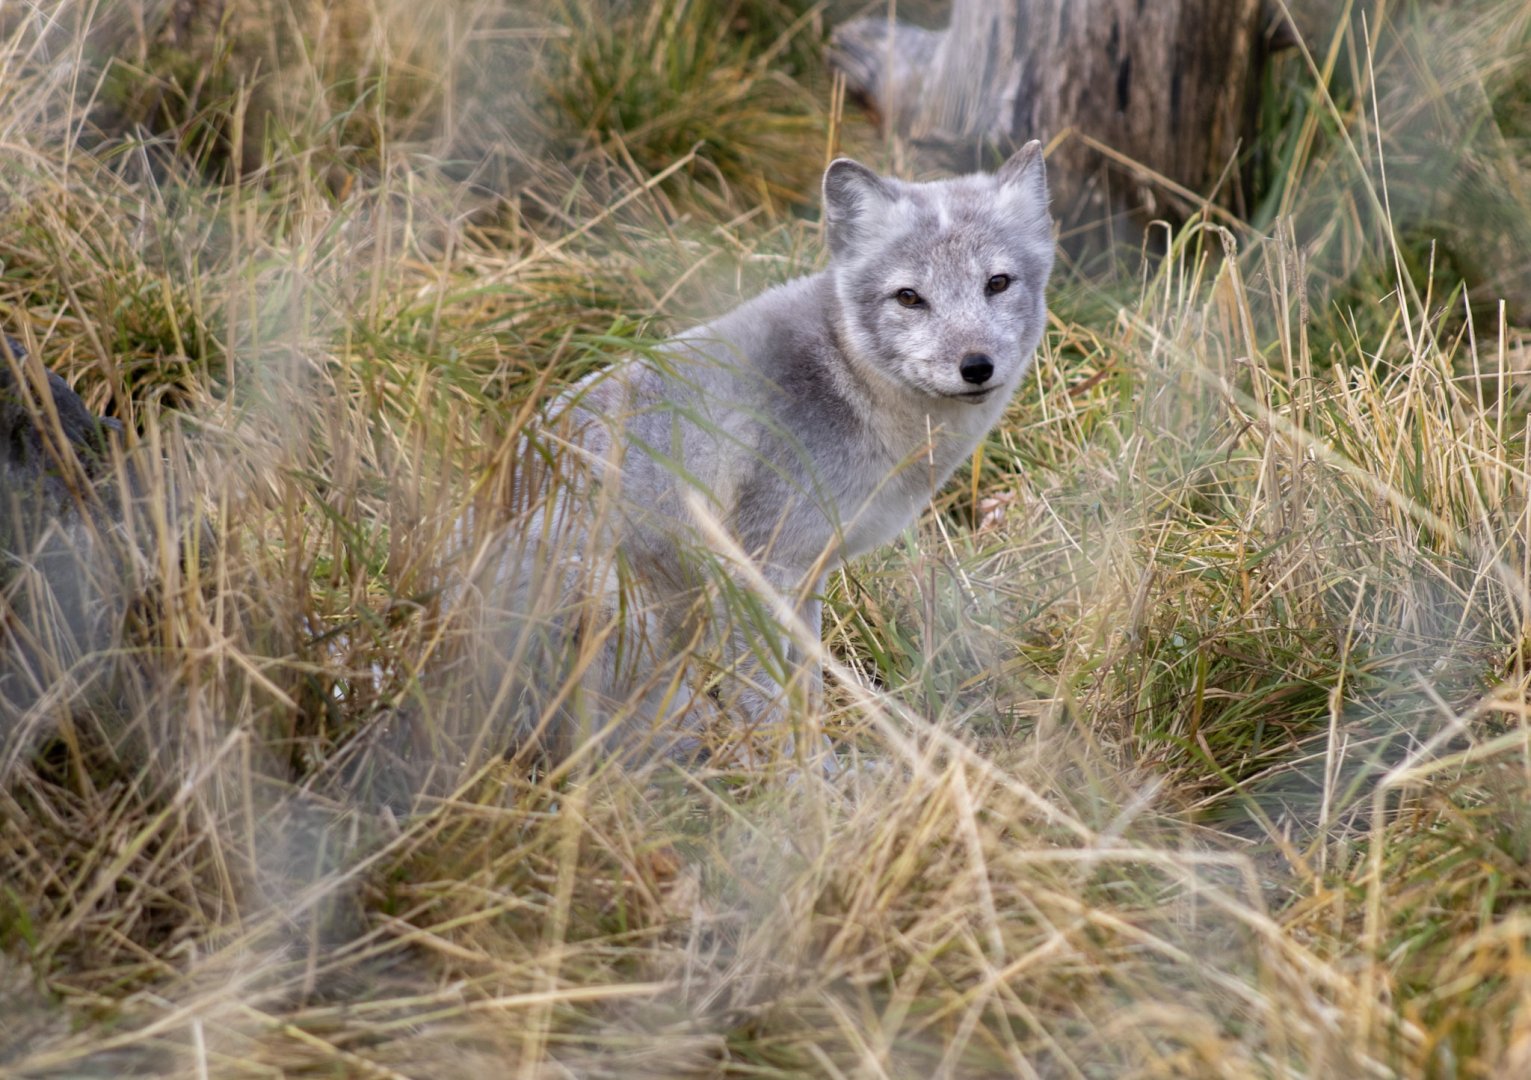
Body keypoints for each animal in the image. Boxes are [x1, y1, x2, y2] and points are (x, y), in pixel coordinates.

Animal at [459, 142, 1055, 768]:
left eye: (997, 283)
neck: (846, 378)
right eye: (909, 297)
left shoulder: (806, 573)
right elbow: (770, 701)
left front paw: (822, 772)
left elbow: (808, 689)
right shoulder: (754, 566)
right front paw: (801, 781)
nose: (976, 366)